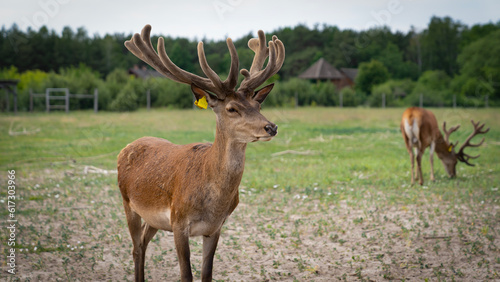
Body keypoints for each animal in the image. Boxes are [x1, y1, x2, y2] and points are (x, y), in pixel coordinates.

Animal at [115, 24, 284, 282]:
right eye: (232, 108)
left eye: (258, 105)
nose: (271, 127)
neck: (213, 204)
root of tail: (126, 148)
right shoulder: (178, 221)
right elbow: (187, 274)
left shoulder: (215, 227)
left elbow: (207, 274)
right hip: (127, 201)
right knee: (135, 247)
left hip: (154, 219)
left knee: (142, 243)